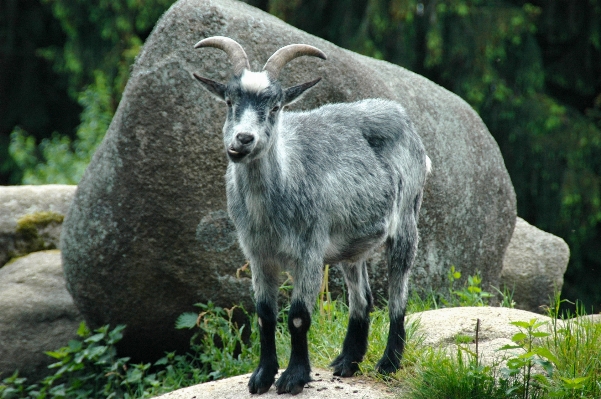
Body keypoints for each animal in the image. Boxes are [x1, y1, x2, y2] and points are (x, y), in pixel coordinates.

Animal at [192, 37, 426, 396]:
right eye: (230, 102)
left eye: (275, 107)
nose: (243, 140)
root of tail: (402, 116)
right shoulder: (259, 256)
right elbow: (264, 315)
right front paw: (261, 377)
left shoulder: (309, 252)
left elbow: (298, 316)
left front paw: (293, 378)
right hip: (352, 244)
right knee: (363, 297)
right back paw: (347, 362)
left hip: (406, 220)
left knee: (398, 295)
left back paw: (388, 363)